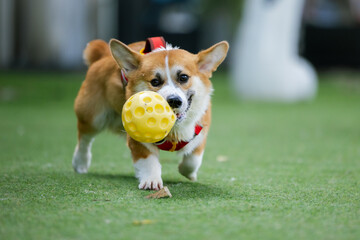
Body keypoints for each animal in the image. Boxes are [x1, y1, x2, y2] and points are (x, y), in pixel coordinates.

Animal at [72, 37, 229, 189]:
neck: (173, 130)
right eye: (155, 81)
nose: (174, 101)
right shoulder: (138, 138)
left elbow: (193, 159)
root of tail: (103, 55)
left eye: (183, 77)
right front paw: (151, 181)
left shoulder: (201, 131)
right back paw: (80, 162)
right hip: (93, 116)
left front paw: (189, 174)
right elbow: (148, 161)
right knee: (84, 138)